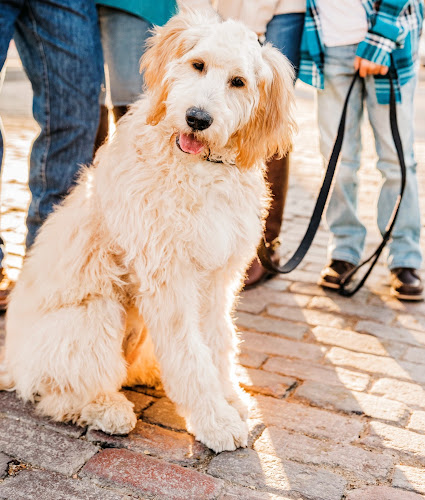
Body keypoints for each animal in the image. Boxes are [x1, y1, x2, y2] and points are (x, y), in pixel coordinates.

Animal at [0, 9, 294, 454]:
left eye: (238, 82)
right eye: (198, 65)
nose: (197, 118)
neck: (198, 169)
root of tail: (11, 362)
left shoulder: (217, 278)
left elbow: (219, 341)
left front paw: (229, 398)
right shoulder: (168, 277)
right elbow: (189, 353)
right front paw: (214, 420)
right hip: (93, 314)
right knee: (56, 393)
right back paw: (107, 409)